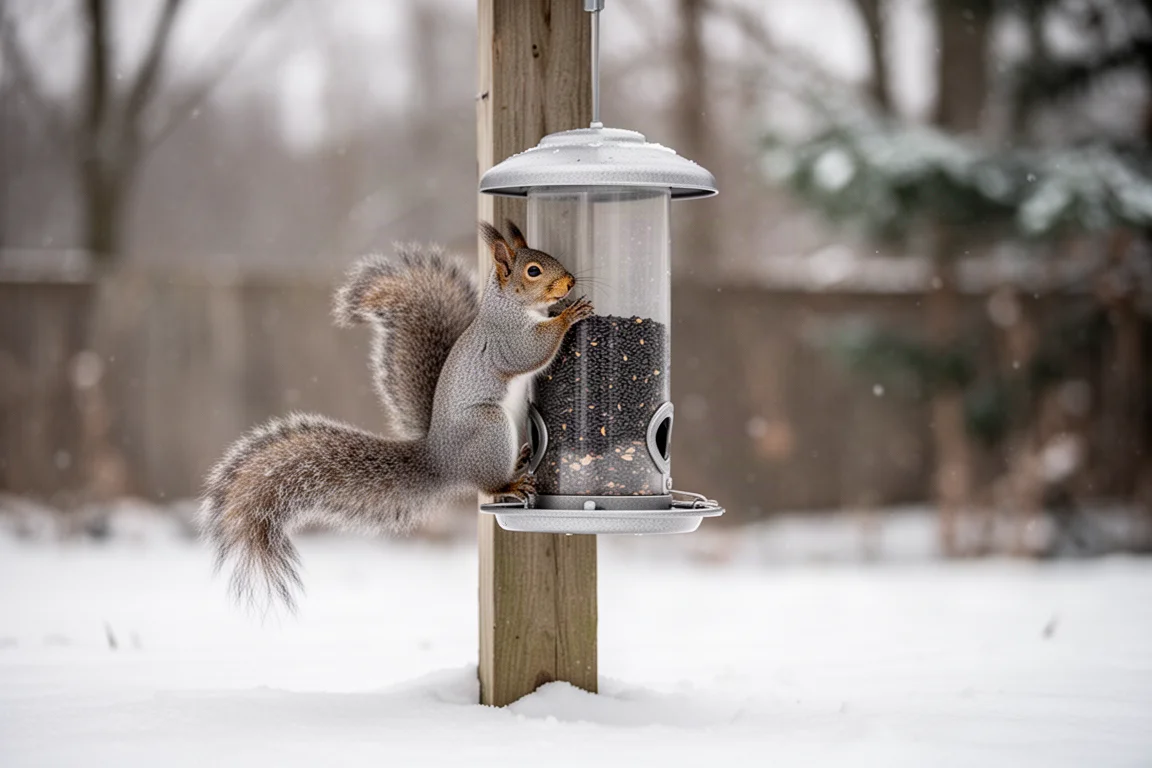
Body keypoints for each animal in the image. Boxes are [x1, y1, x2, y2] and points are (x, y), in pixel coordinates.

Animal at [199, 220, 594, 611]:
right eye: (533, 271)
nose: (571, 281)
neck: (513, 306)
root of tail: (440, 459)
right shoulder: (507, 340)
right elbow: (531, 351)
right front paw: (567, 316)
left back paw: (523, 458)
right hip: (489, 428)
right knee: (489, 485)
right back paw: (511, 482)